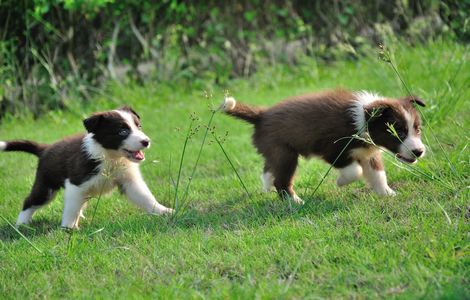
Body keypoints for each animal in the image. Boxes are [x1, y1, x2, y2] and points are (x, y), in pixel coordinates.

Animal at [0, 106, 173, 229]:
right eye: (122, 131)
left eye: (139, 126)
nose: (146, 141)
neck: (111, 157)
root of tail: (45, 149)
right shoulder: (76, 183)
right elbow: (70, 208)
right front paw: (68, 228)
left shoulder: (129, 181)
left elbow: (146, 197)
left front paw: (163, 211)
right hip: (46, 185)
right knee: (30, 201)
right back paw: (21, 224)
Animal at [221, 88, 426, 203]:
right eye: (399, 132)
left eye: (417, 129)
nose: (419, 151)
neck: (361, 120)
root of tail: (262, 115)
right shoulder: (332, 149)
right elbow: (355, 170)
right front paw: (341, 182)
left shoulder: (368, 152)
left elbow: (378, 174)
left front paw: (387, 193)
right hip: (285, 154)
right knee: (282, 181)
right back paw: (295, 201)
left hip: (275, 151)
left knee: (269, 169)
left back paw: (267, 185)